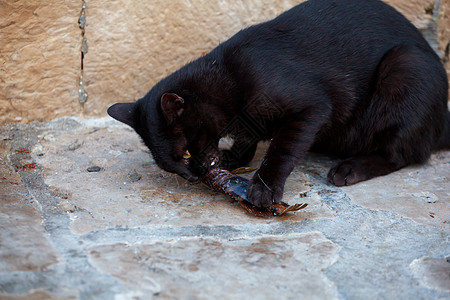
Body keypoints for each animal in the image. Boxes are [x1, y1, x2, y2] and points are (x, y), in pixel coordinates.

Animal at [107, 0, 448, 209]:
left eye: (185, 154)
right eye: (171, 167)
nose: (192, 176)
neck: (227, 74)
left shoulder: (311, 108)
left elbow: (281, 150)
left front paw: (264, 187)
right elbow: (248, 138)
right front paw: (234, 158)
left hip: (405, 66)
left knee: (400, 153)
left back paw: (350, 168)